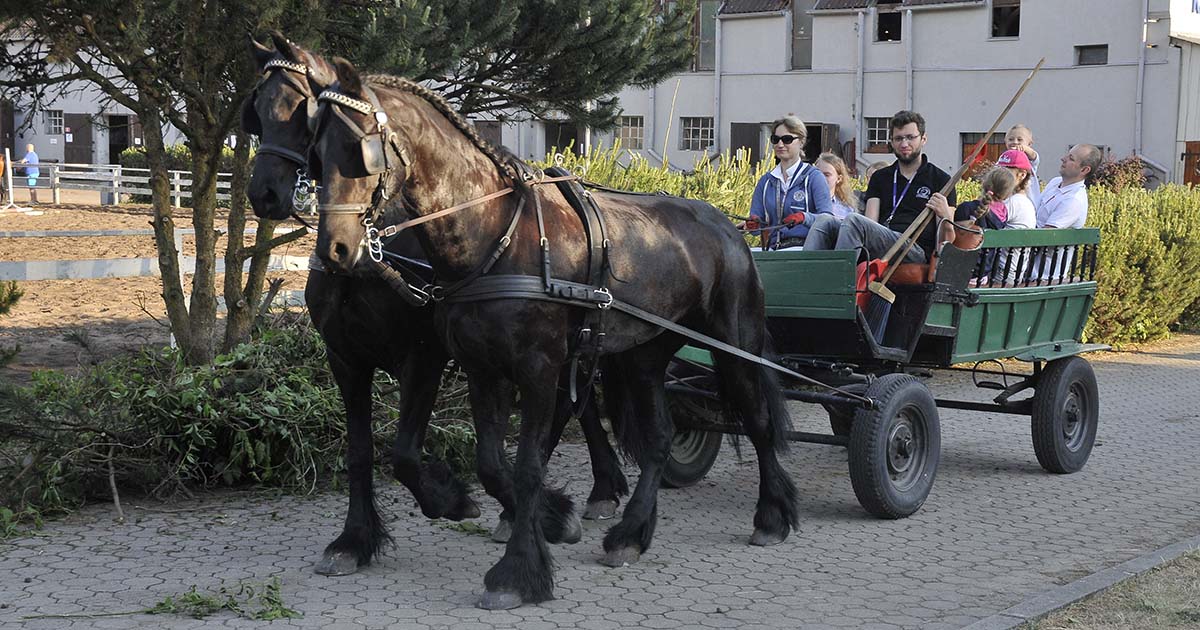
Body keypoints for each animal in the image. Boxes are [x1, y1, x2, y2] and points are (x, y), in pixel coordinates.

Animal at [237, 33, 624, 573]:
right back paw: (598, 489)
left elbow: (403, 452)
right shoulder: (345, 358)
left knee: (572, 404)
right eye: (257, 110)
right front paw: (354, 539)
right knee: (578, 404)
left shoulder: (424, 355)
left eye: (301, 111)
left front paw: (454, 500)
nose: (265, 193)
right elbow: (361, 451)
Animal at [304, 56, 801, 607]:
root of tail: (727, 224)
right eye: (315, 151)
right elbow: (491, 462)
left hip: (734, 344)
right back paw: (631, 534)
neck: (497, 234)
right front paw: (543, 524)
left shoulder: (536, 369)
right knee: (659, 437)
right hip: (644, 355)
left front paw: (518, 571)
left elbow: (526, 467)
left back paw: (771, 516)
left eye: (362, 152)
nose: (335, 248)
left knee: (758, 421)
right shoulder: (484, 370)